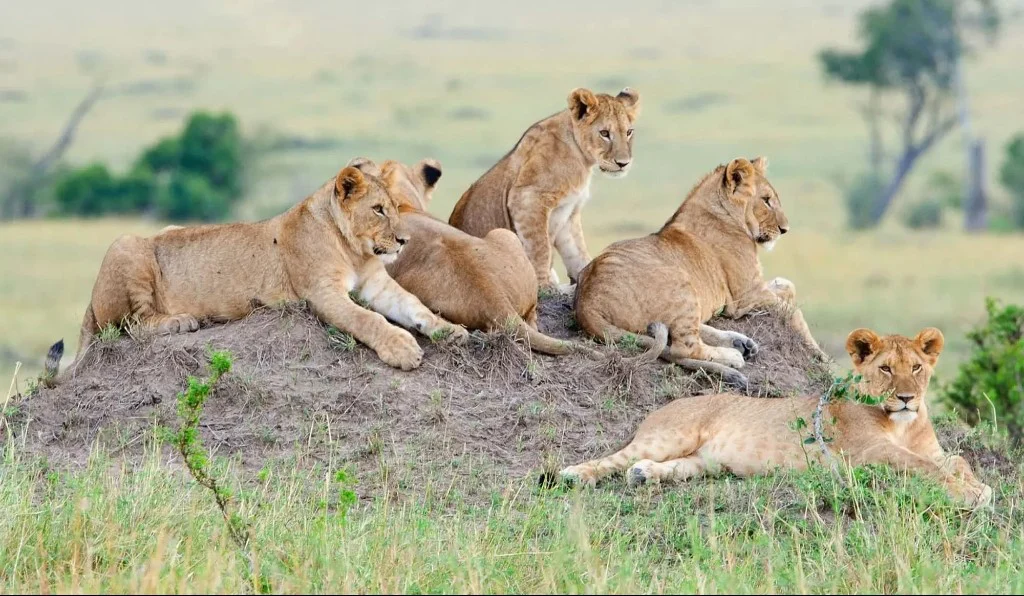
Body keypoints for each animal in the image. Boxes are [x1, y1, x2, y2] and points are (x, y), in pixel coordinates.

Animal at [42, 164, 468, 380]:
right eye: (378, 210)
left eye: (396, 207)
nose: (403, 241)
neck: (355, 251)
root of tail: (90, 301)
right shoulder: (322, 293)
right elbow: (368, 320)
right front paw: (402, 349)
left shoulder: (377, 285)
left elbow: (414, 306)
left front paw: (450, 330)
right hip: (125, 244)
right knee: (128, 326)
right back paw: (182, 321)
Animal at [448, 86, 640, 293]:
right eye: (604, 133)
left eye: (628, 132)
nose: (623, 163)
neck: (581, 158)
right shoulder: (528, 198)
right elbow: (540, 247)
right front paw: (545, 286)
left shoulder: (569, 212)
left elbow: (577, 251)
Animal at [559, 327, 993, 509]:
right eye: (886, 369)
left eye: (917, 367)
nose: (906, 398)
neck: (901, 424)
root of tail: (666, 405)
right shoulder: (869, 452)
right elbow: (924, 467)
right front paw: (970, 495)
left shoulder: (930, 449)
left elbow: (956, 459)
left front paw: (978, 486)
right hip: (669, 436)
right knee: (613, 459)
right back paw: (575, 474)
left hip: (703, 462)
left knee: (663, 466)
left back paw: (644, 474)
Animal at [573, 156, 826, 387]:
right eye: (766, 201)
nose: (785, 230)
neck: (724, 213)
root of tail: (586, 303)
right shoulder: (748, 294)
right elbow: (793, 312)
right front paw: (820, 355)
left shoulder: (754, 289)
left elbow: (787, 285)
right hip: (681, 283)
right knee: (682, 348)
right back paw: (734, 355)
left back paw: (740, 343)